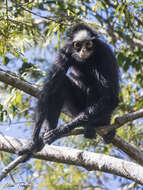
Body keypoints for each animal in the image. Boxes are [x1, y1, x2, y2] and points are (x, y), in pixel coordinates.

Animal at [18, 23, 119, 155]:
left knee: (94, 88)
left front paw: (60, 131)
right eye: (78, 45)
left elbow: (111, 98)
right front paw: (32, 142)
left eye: (88, 44)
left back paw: (90, 126)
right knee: (60, 84)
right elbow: (48, 90)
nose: (83, 50)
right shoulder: (65, 51)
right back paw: (49, 129)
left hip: (104, 115)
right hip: (75, 109)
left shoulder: (104, 53)